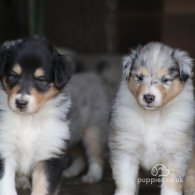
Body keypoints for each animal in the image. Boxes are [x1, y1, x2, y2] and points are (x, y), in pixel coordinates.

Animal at [0, 37, 73, 195]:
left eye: (41, 80)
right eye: (12, 76)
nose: (21, 103)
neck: (28, 119)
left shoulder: (50, 153)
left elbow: (43, 186)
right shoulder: (4, 148)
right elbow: (5, 185)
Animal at [109, 42, 194, 195]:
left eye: (165, 80)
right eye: (140, 77)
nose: (148, 97)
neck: (153, 115)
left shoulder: (175, 152)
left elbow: (171, 183)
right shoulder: (125, 150)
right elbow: (126, 180)